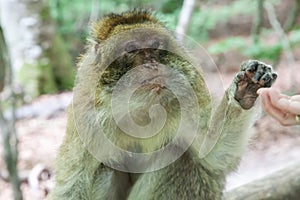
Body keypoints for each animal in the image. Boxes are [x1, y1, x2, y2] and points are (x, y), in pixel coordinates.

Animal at [50, 10, 278, 199]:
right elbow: (72, 183)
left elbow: (215, 155)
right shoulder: (87, 115)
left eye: (155, 46)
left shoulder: (188, 94)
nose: (152, 63)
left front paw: (244, 90)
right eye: (131, 49)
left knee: (175, 156)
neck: (141, 109)